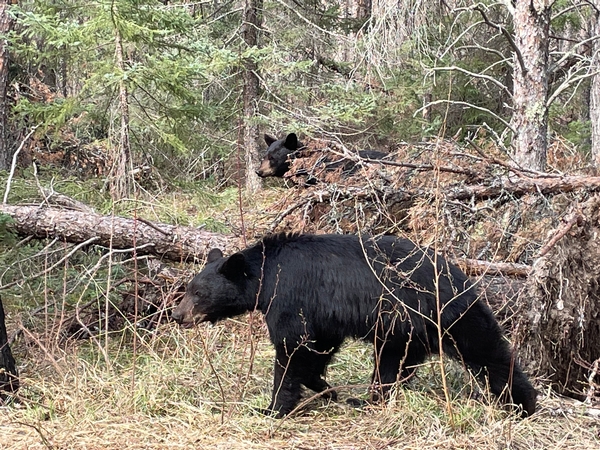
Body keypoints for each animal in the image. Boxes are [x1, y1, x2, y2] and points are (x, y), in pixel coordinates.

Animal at [171, 234, 536, 420]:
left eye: (198, 293)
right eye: (188, 288)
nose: (177, 315)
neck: (267, 273)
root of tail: (462, 275)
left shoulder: (291, 294)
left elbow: (291, 346)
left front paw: (272, 407)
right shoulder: (322, 314)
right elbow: (318, 347)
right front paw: (325, 388)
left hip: (446, 314)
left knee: (487, 351)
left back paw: (523, 404)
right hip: (403, 330)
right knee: (392, 365)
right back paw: (369, 400)